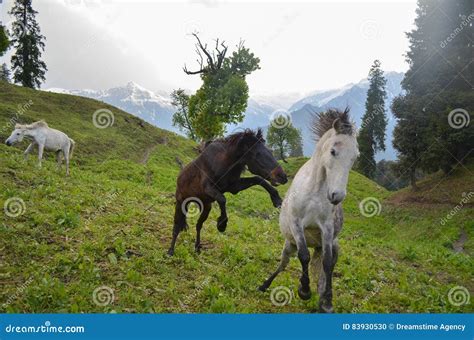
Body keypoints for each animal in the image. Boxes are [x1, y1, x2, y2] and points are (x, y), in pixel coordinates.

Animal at [260, 109, 360, 314]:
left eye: (355, 156)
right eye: (333, 151)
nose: (337, 196)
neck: (314, 192)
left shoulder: (327, 229)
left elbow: (327, 264)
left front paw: (326, 302)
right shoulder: (297, 224)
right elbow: (304, 256)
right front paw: (304, 291)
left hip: (330, 246)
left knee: (325, 268)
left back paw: (323, 298)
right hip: (289, 245)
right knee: (283, 265)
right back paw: (264, 285)